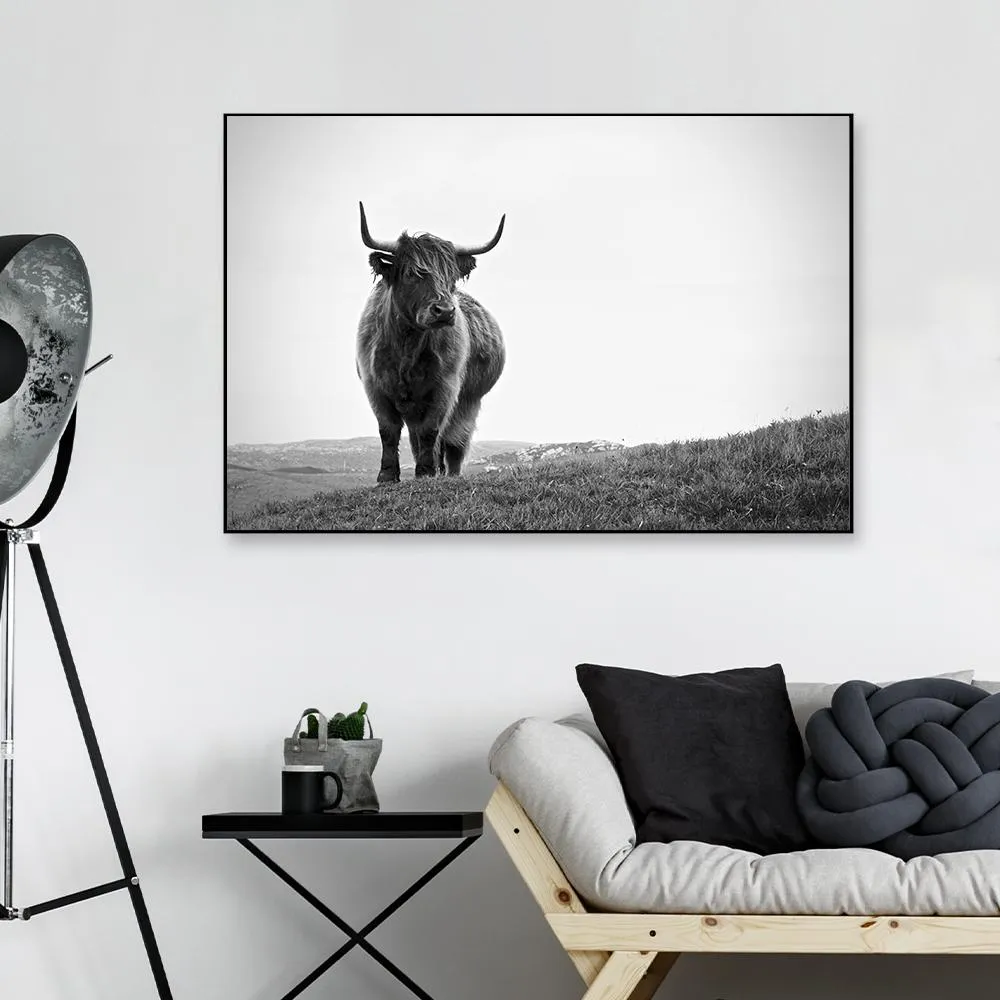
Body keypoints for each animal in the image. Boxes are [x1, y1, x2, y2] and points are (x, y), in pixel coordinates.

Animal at [355, 202, 506, 483]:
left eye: (451, 278)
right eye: (412, 274)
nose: (444, 311)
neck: (407, 346)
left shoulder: (445, 388)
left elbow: (431, 431)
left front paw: (426, 472)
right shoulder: (374, 386)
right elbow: (388, 430)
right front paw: (387, 475)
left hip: (469, 402)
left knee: (454, 443)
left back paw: (448, 474)